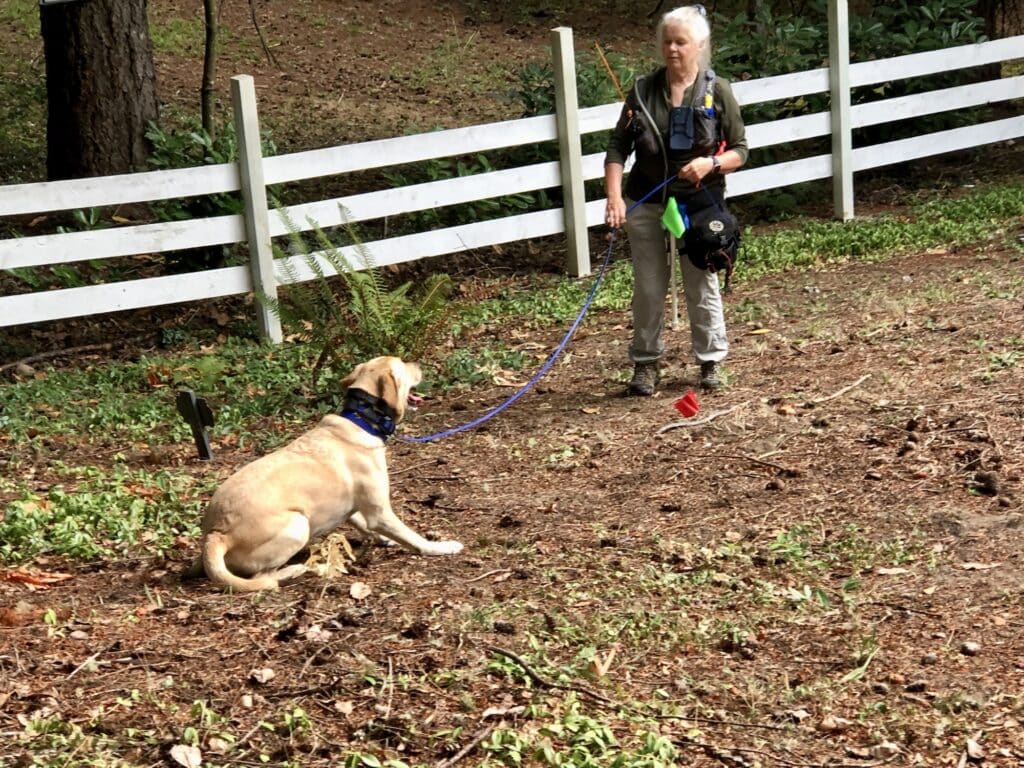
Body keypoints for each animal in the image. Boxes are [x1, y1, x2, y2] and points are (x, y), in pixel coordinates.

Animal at [188, 358, 464, 593]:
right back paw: (293, 571)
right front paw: (440, 547)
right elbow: (413, 537)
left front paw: (387, 540)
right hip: (298, 525)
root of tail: (214, 534)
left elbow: (368, 527)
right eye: (403, 365)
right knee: (262, 577)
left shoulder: (355, 509)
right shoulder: (380, 512)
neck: (361, 420)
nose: (418, 364)